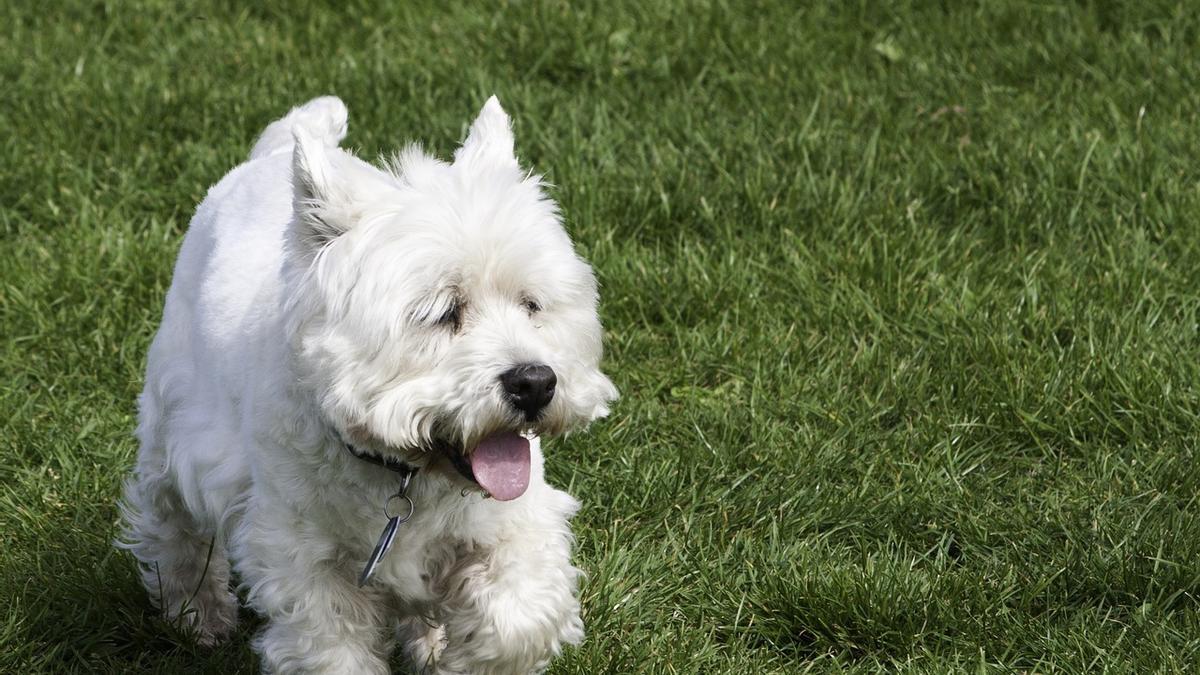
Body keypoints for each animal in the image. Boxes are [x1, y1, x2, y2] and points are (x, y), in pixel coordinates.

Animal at [119, 96, 619, 672]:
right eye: (442, 312)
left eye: (532, 304)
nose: (535, 383)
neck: (404, 476)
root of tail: (271, 153)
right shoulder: (304, 560)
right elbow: (332, 650)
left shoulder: (514, 523)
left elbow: (517, 618)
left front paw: (457, 652)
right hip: (172, 425)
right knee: (172, 523)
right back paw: (197, 615)